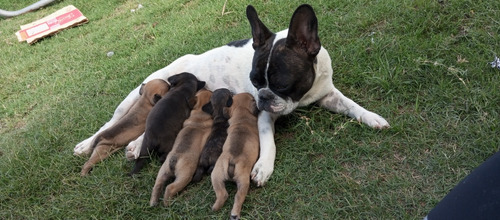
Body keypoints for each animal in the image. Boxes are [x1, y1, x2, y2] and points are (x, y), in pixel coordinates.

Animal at [72, 4, 388, 186]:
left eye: (281, 84)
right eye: (254, 81)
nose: (262, 96)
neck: (304, 95)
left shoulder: (328, 94)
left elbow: (352, 105)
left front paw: (372, 117)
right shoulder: (265, 117)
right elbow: (269, 142)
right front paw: (264, 166)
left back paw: (135, 145)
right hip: (131, 99)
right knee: (109, 124)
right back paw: (88, 144)